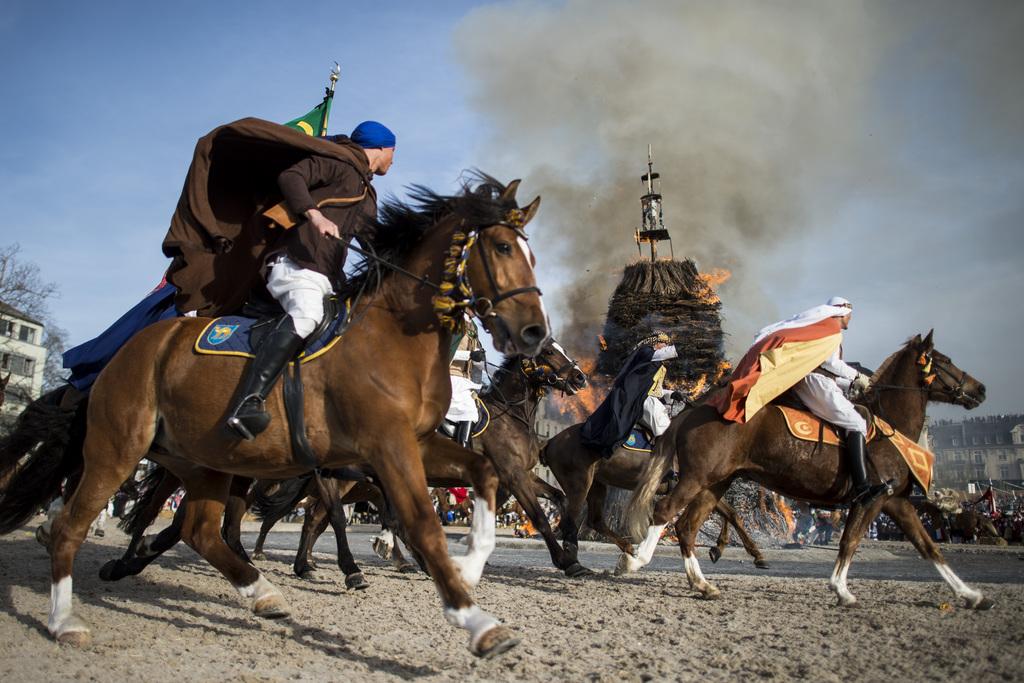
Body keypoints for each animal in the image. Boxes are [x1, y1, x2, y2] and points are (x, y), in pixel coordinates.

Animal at [0, 176, 552, 655]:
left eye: (532, 254)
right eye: (502, 248)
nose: (533, 333)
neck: (393, 334)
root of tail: (128, 351)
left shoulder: (417, 444)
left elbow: (484, 474)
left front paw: (471, 566)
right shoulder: (387, 447)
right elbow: (422, 521)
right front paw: (475, 619)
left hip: (205, 462)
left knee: (200, 529)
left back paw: (260, 591)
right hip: (118, 450)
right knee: (75, 523)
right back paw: (65, 617)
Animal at [614, 331, 991, 610]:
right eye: (945, 361)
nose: (981, 388)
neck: (887, 425)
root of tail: (694, 409)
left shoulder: (896, 502)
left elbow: (928, 546)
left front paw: (971, 595)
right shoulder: (871, 500)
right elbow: (850, 541)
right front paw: (841, 589)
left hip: (715, 483)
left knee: (688, 526)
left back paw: (702, 583)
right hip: (696, 479)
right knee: (665, 512)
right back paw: (635, 560)